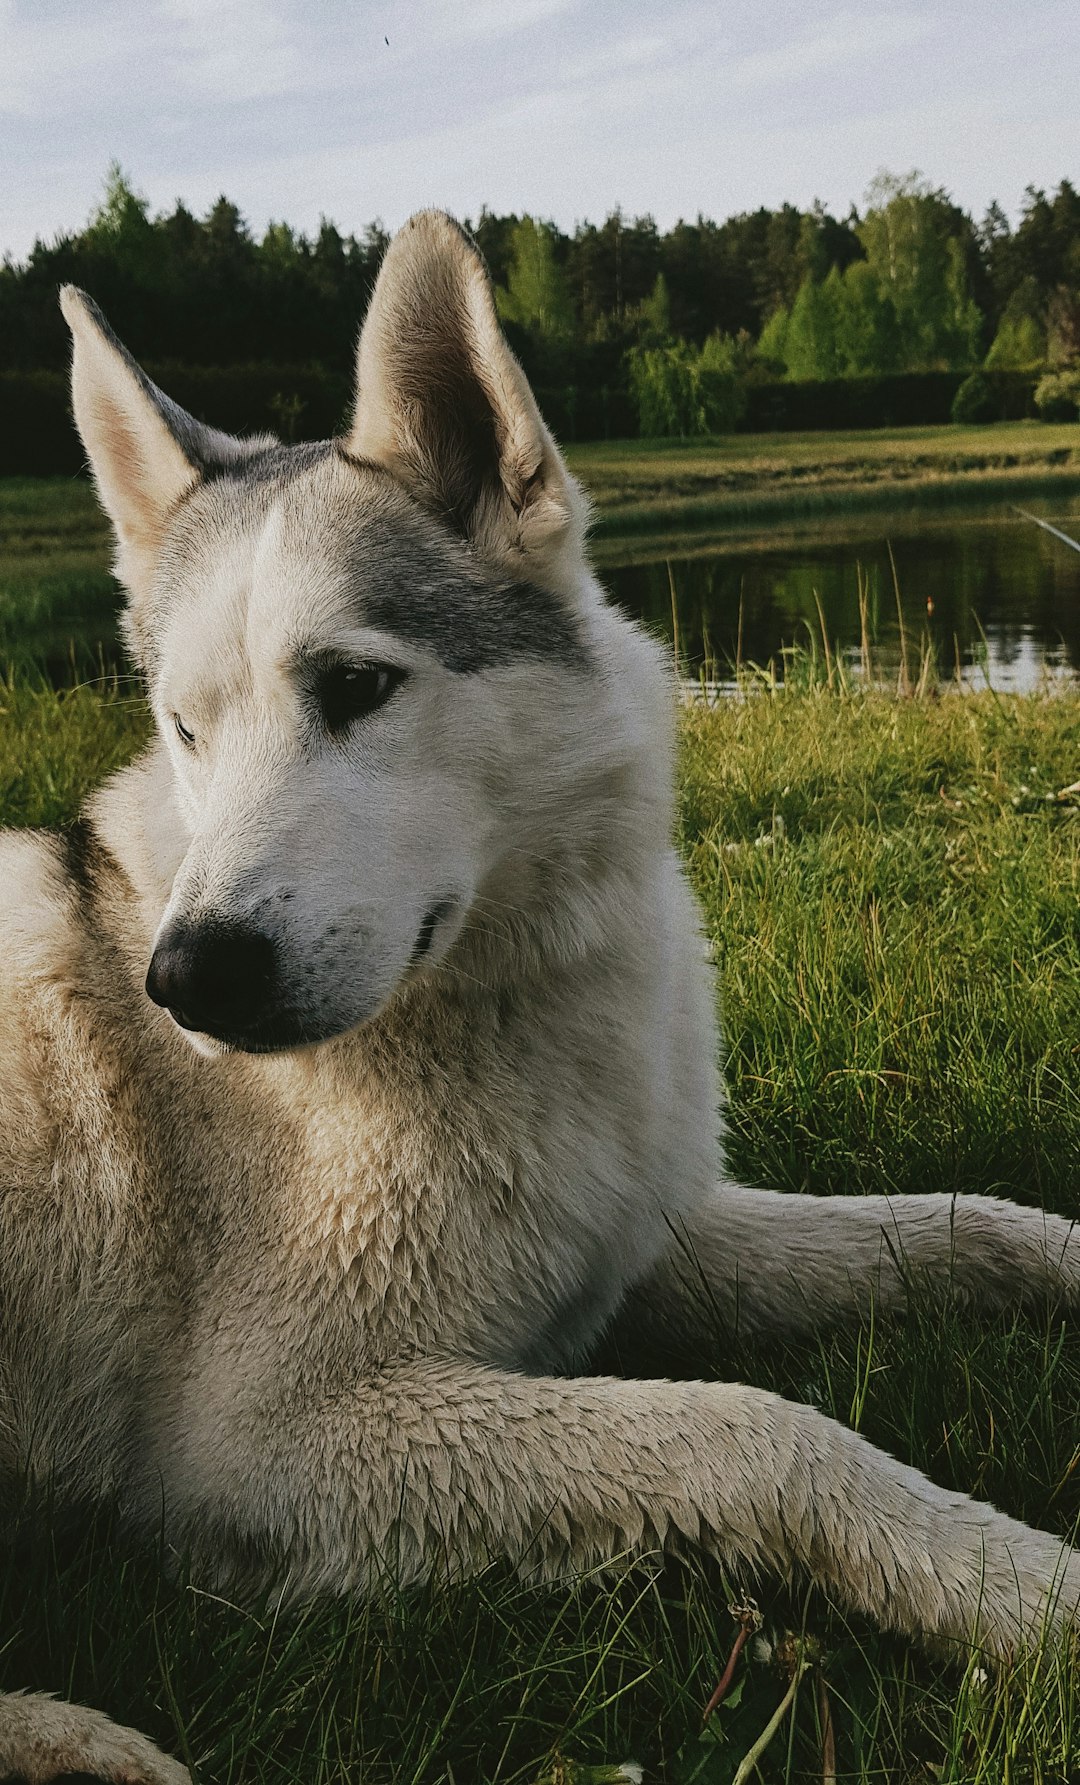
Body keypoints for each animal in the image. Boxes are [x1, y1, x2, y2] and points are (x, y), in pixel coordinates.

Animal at [2, 215, 1078, 1777]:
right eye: (184, 730)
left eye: (355, 685)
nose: (188, 977)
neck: (514, 1004)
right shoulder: (266, 1449)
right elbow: (761, 1434)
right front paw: (1021, 1587)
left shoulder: (644, 1235)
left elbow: (973, 1224)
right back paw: (81, 1741)